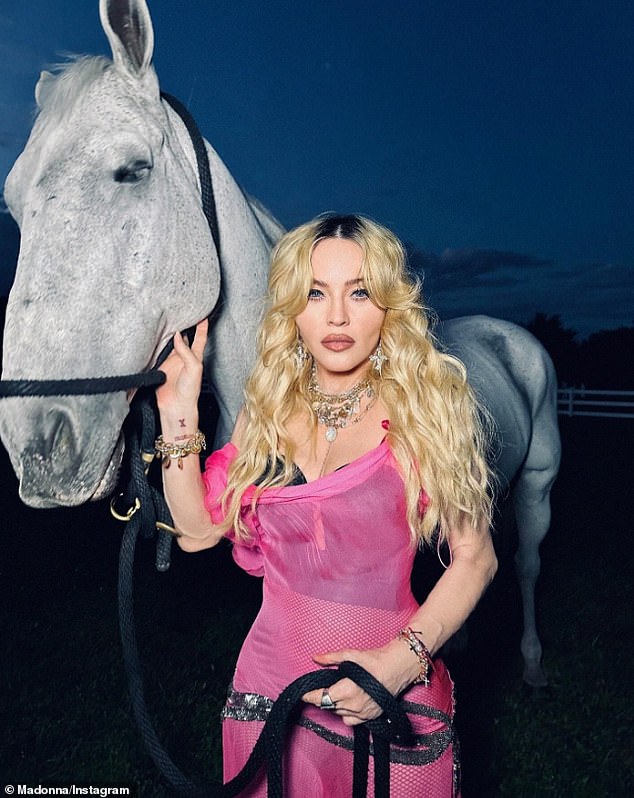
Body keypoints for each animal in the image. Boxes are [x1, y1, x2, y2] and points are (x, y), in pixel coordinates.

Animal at [0, 0, 556, 688]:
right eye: (12, 203)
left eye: (132, 169)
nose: (37, 447)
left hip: (538, 485)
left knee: (527, 565)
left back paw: (531, 662)